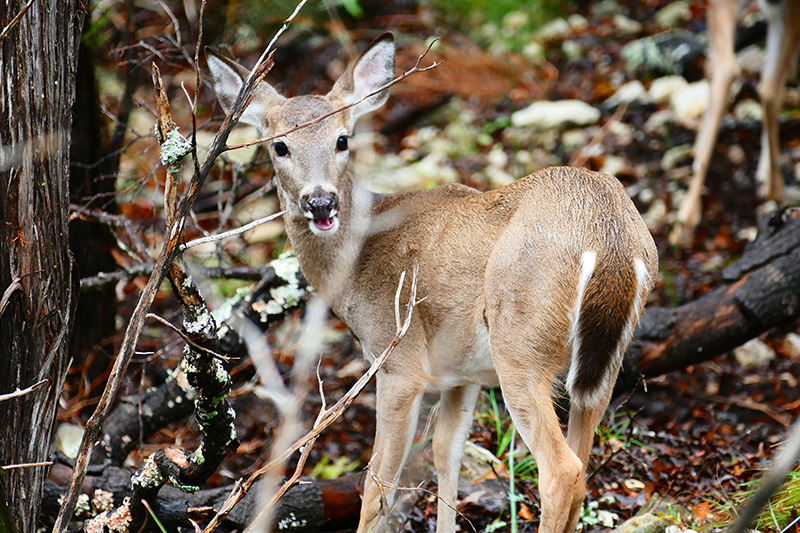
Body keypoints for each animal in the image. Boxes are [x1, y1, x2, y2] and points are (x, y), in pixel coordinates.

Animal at [206, 33, 656, 532]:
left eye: (342, 139)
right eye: (279, 146)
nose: (320, 202)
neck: (358, 258)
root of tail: (611, 238)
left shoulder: (398, 361)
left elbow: (378, 483)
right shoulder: (462, 373)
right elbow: (446, 454)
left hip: (520, 341)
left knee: (562, 471)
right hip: (602, 361)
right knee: (583, 453)